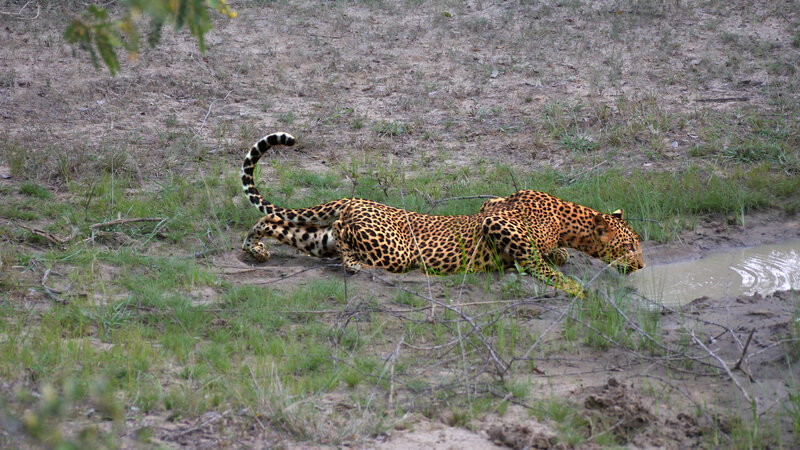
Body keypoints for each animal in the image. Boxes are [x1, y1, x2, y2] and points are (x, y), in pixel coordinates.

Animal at [240, 132, 645, 299]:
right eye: (630, 246)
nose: (642, 266)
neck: (568, 222)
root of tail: (352, 200)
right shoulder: (497, 220)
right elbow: (538, 261)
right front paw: (574, 288)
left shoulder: (491, 206)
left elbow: (552, 255)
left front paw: (560, 259)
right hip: (395, 249)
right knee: (343, 239)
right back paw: (356, 265)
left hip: (317, 238)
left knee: (280, 224)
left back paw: (255, 249)